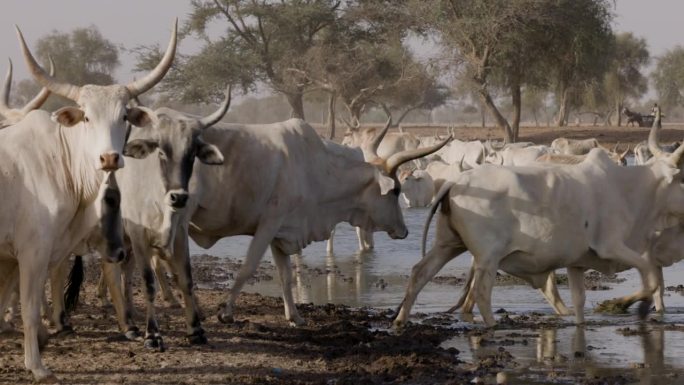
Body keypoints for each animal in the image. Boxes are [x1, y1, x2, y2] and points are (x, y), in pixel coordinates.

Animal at [0, 19, 179, 380]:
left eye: (124, 116)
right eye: (86, 117)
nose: (109, 158)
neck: (59, 162)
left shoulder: (14, 257)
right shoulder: (32, 252)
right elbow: (29, 308)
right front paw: (37, 366)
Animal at [392, 110, 684, 328]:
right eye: (682, 178)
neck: (629, 188)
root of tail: (456, 181)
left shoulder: (577, 262)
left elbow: (579, 302)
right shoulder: (613, 246)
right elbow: (652, 281)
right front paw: (618, 304)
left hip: (449, 244)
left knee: (420, 273)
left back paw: (400, 320)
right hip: (488, 256)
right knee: (481, 292)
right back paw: (491, 326)